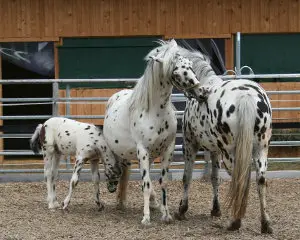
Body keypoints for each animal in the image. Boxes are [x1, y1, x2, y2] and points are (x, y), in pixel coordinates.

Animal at [102, 39, 206, 225]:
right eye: (177, 71)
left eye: (190, 66)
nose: (202, 92)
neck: (156, 112)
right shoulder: (143, 150)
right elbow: (146, 183)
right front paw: (146, 218)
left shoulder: (168, 149)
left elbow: (161, 181)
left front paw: (166, 214)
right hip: (117, 152)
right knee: (118, 171)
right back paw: (117, 195)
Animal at [170, 46, 274, 233]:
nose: (199, 94)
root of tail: (246, 96)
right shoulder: (214, 150)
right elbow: (214, 178)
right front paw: (215, 209)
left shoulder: (189, 145)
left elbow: (187, 177)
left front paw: (182, 210)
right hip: (261, 149)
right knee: (260, 180)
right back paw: (265, 224)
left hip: (231, 154)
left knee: (240, 181)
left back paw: (235, 222)